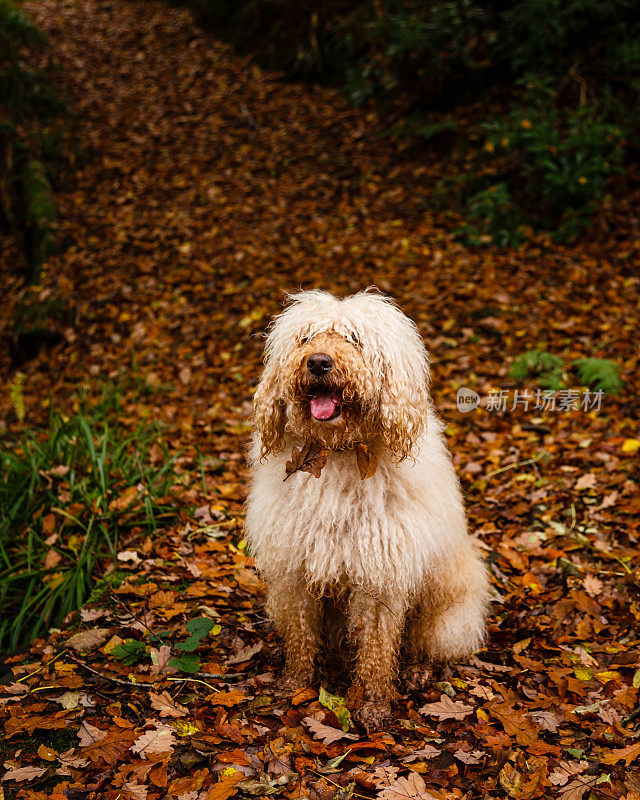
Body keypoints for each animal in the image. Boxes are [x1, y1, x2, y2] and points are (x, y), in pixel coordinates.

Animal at [242, 290, 488, 728]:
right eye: (306, 338)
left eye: (354, 339)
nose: (318, 362)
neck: (338, 454)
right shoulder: (296, 569)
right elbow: (301, 635)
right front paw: (296, 683)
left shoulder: (380, 577)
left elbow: (376, 649)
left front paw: (373, 704)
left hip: (448, 606)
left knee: (432, 645)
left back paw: (418, 669)